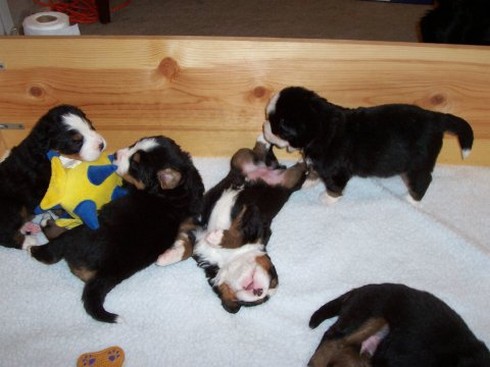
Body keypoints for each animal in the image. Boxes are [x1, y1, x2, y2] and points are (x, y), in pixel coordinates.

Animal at [0, 105, 106, 250]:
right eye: (76, 141)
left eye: (90, 125)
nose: (101, 145)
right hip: (12, 207)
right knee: (5, 234)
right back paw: (29, 241)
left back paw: (30, 227)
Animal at [190, 135, 306, 314]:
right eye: (272, 278)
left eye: (261, 300)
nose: (260, 292)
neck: (228, 258)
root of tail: (272, 167)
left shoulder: (257, 219)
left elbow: (237, 235)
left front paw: (217, 238)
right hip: (240, 159)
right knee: (257, 153)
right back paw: (267, 142)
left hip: (289, 181)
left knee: (298, 170)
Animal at [264, 87, 474, 206]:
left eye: (277, 126)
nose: (264, 126)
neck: (321, 126)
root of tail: (436, 118)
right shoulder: (317, 162)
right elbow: (313, 171)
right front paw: (309, 181)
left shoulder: (336, 170)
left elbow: (334, 186)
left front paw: (328, 199)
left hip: (417, 166)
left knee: (423, 181)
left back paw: (410, 200)